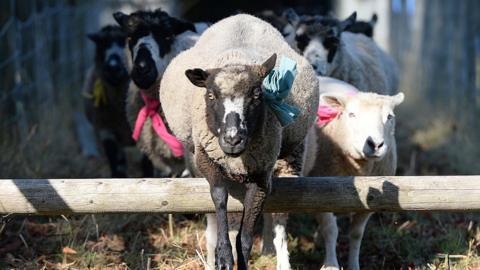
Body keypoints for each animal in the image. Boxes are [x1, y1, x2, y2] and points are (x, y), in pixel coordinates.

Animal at [159, 14, 320, 268]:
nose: (233, 139)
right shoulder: (206, 159)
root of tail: (241, 16)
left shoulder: (262, 173)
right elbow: (220, 198)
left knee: (279, 215)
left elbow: (247, 232)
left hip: (289, 160)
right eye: (211, 95)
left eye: (257, 95)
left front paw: (240, 256)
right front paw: (224, 254)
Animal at [304, 76, 404, 270]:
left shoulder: (371, 202)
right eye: (352, 115)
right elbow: (331, 230)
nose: (376, 144)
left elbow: (356, 233)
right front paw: (331, 265)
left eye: (389, 117)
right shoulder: (319, 195)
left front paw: (353, 265)